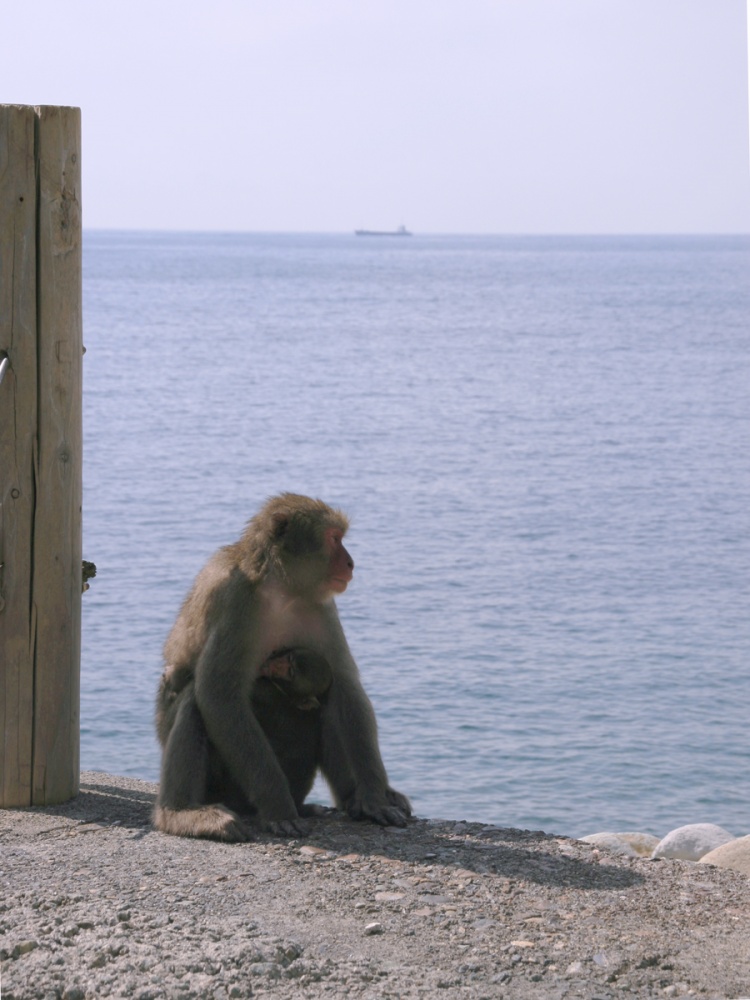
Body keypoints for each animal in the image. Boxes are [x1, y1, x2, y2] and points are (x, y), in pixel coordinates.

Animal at [153, 496, 412, 840]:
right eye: (334, 539)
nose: (350, 563)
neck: (280, 589)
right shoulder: (236, 600)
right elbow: (219, 695)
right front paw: (278, 807)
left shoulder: (320, 605)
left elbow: (345, 686)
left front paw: (374, 798)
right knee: (193, 701)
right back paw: (181, 813)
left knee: (328, 697)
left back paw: (352, 798)